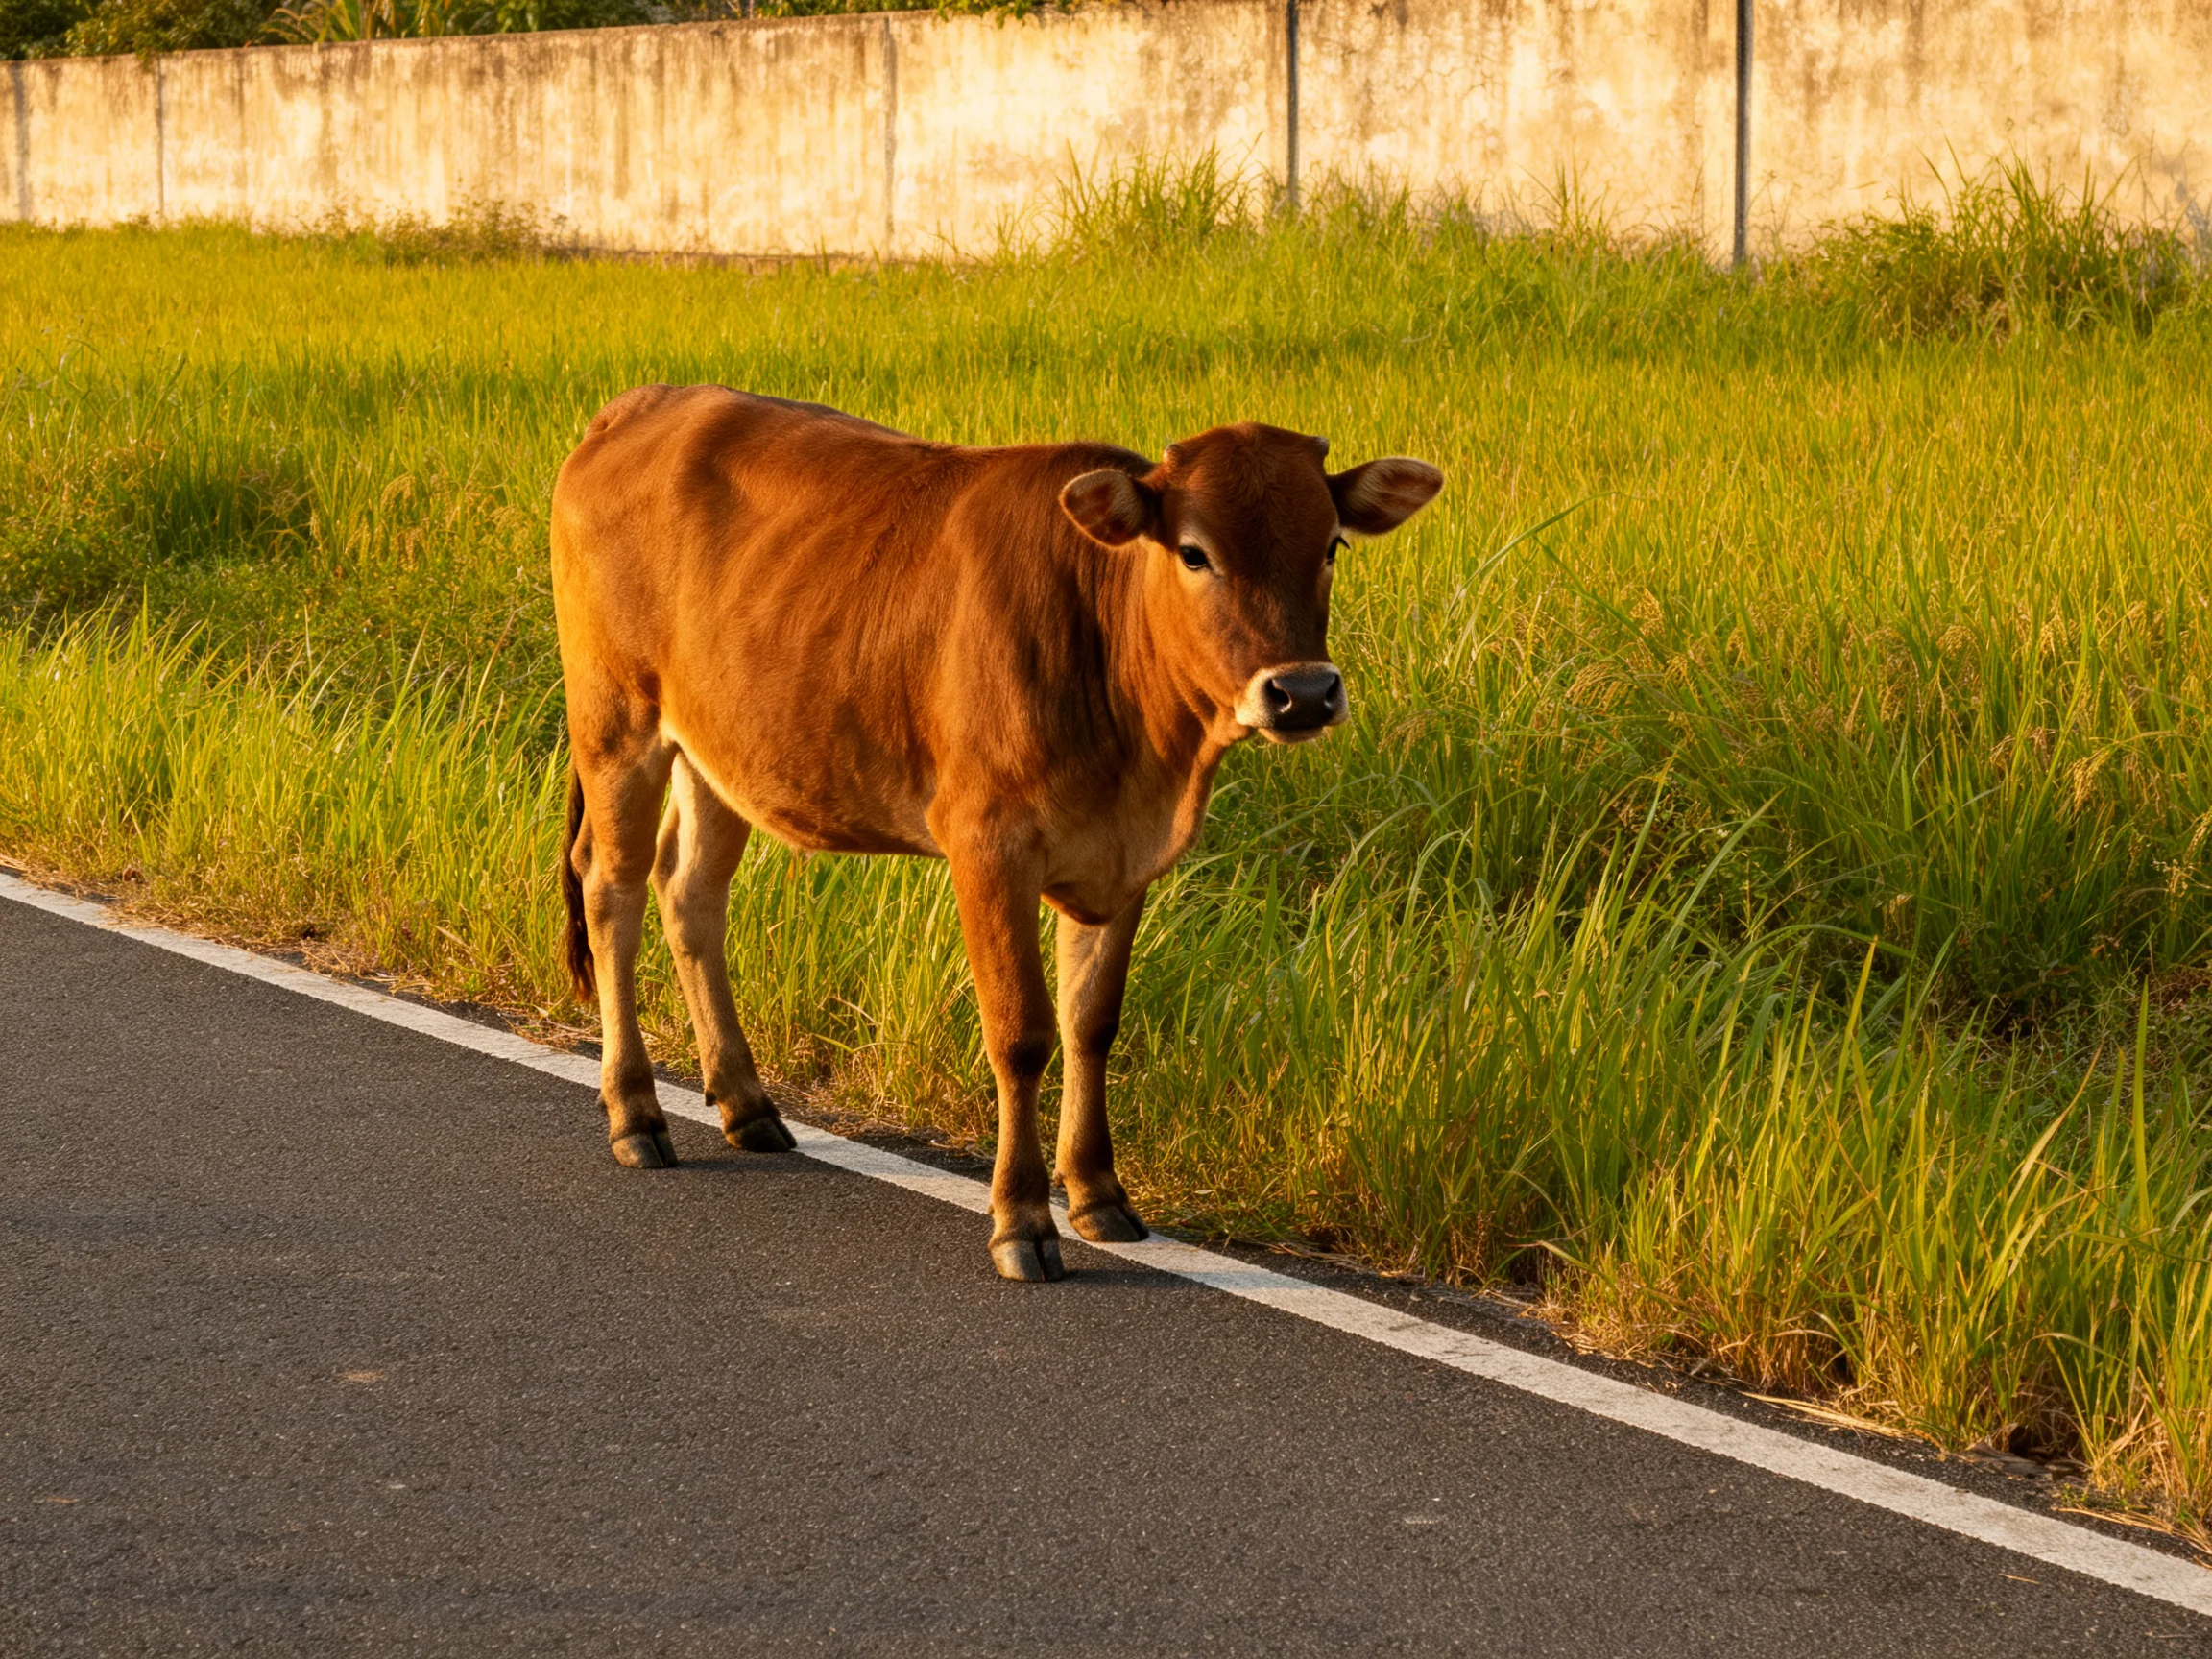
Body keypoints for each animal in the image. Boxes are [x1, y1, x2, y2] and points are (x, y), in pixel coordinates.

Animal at [551, 387, 1442, 1280]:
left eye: (1331, 545)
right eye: (1194, 554)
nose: (1303, 692)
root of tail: (650, 402)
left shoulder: (1124, 859)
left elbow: (1092, 1022)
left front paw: (1098, 1194)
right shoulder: (987, 847)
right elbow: (1021, 1034)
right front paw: (1023, 1220)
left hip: (719, 753)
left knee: (689, 892)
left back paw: (746, 1103)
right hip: (617, 725)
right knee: (612, 891)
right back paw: (636, 1113)